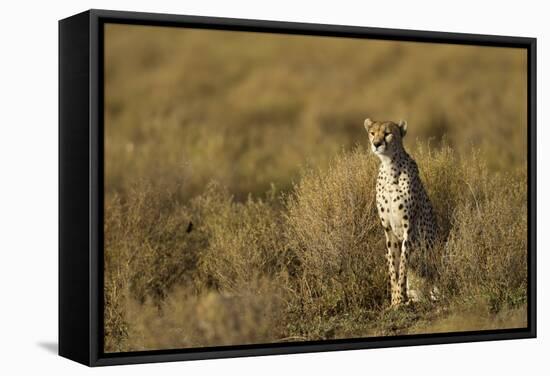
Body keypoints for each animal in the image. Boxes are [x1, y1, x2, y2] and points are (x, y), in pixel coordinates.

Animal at [364, 118, 438, 308]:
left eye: (388, 133)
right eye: (372, 133)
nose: (376, 144)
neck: (390, 167)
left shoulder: (408, 229)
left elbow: (403, 264)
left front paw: (398, 299)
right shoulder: (388, 230)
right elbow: (393, 268)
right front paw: (394, 300)